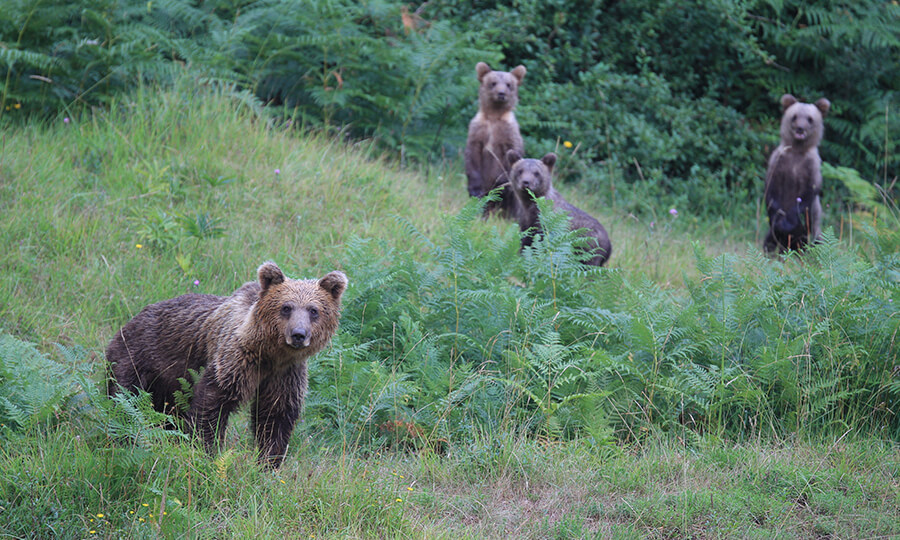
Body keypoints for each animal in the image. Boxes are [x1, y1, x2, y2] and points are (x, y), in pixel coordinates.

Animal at [104, 262, 344, 468]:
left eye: (313, 310)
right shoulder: (236, 359)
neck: (270, 354)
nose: (298, 334)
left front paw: (268, 462)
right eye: (286, 307)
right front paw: (206, 450)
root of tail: (129, 322)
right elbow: (213, 404)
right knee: (125, 402)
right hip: (137, 359)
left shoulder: (285, 374)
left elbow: (275, 415)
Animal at [464, 61, 528, 217]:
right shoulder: (478, 130)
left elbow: (511, 155)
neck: (494, 115)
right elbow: (472, 157)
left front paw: (500, 184)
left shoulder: (508, 133)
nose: (501, 93)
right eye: (493, 83)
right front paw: (475, 189)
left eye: (509, 84)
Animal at [768, 93, 828, 253]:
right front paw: (778, 220)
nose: (800, 129)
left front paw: (787, 223)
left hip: (814, 230)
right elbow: (772, 192)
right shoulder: (779, 162)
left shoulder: (811, 168)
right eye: (794, 116)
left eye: (810, 119)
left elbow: (807, 194)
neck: (797, 151)